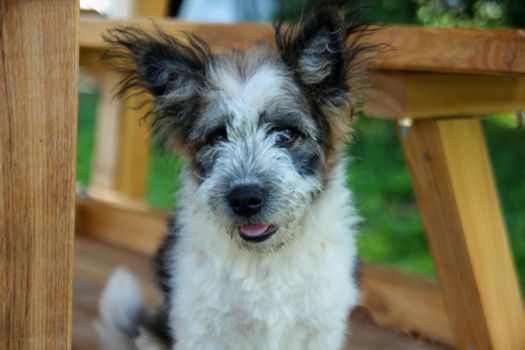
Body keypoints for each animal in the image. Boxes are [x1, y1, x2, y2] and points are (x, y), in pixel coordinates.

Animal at [95, 3, 372, 350]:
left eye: (285, 133)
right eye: (217, 136)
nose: (245, 199)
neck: (264, 261)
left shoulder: (322, 328)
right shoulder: (200, 330)